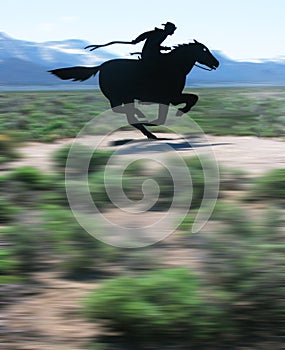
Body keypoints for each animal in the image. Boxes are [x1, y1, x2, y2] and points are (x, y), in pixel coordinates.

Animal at [49, 40, 217, 139]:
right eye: (204, 50)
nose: (217, 63)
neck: (174, 66)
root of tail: (101, 66)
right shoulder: (170, 97)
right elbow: (189, 100)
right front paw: (180, 111)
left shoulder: (171, 98)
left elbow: (193, 98)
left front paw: (181, 111)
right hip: (119, 97)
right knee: (125, 113)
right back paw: (145, 124)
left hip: (123, 97)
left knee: (127, 115)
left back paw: (147, 129)